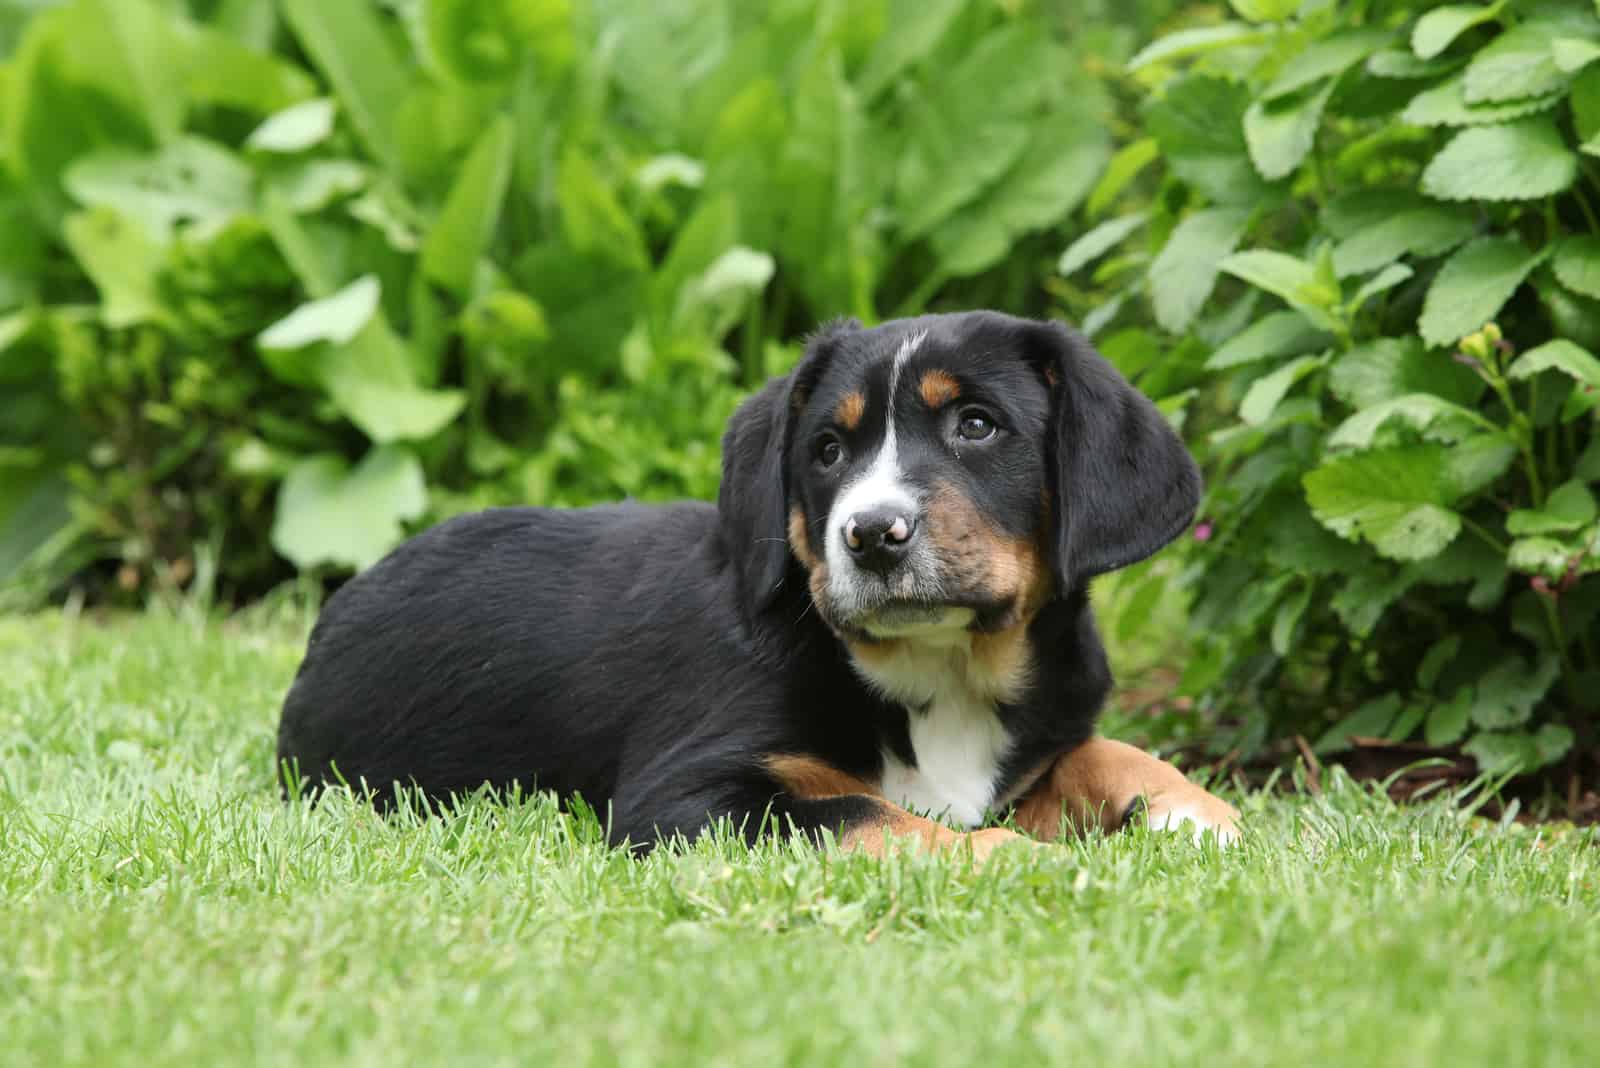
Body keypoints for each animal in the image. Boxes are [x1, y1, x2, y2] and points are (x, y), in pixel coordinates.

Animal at [278, 310, 1235, 856]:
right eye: (828, 450)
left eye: (976, 425)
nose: (872, 536)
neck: (944, 675)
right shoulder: (687, 795)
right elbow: (874, 816)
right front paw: (1029, 865)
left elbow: (1108, 751)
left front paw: (1199, 814)